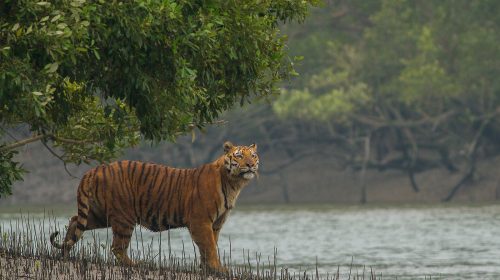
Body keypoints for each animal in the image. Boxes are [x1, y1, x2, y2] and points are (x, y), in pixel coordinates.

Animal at [50, 141, 260, 272]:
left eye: (253, 156)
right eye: (239, 156)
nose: (250, 165)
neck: (234, 184)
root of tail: (95, 169)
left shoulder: (215, 224)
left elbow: (210, 246)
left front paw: (207, 268)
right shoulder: (200, 221)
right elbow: (209, 246)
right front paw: (218, 269)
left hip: (99, 214)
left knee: (74, 221)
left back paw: (65, 254)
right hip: (124, 217)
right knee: (117, 247)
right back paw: (135, 264)